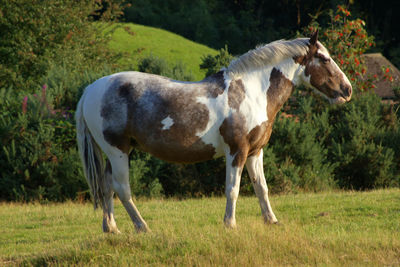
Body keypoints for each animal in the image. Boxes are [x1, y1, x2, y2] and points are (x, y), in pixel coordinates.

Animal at [76, 30, 352, 233]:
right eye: (324, 59)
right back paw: (142, 227)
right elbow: (233, 189)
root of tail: (91, 89)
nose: (347, 89)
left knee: (106, 186)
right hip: (118, 151)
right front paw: (230, 224)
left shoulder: (255, 152)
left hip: (115, 152)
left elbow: (261, 187)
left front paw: (271, 221)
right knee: (122, 188)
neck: (251, 92)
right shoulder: (237, 151)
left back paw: (112, 229)